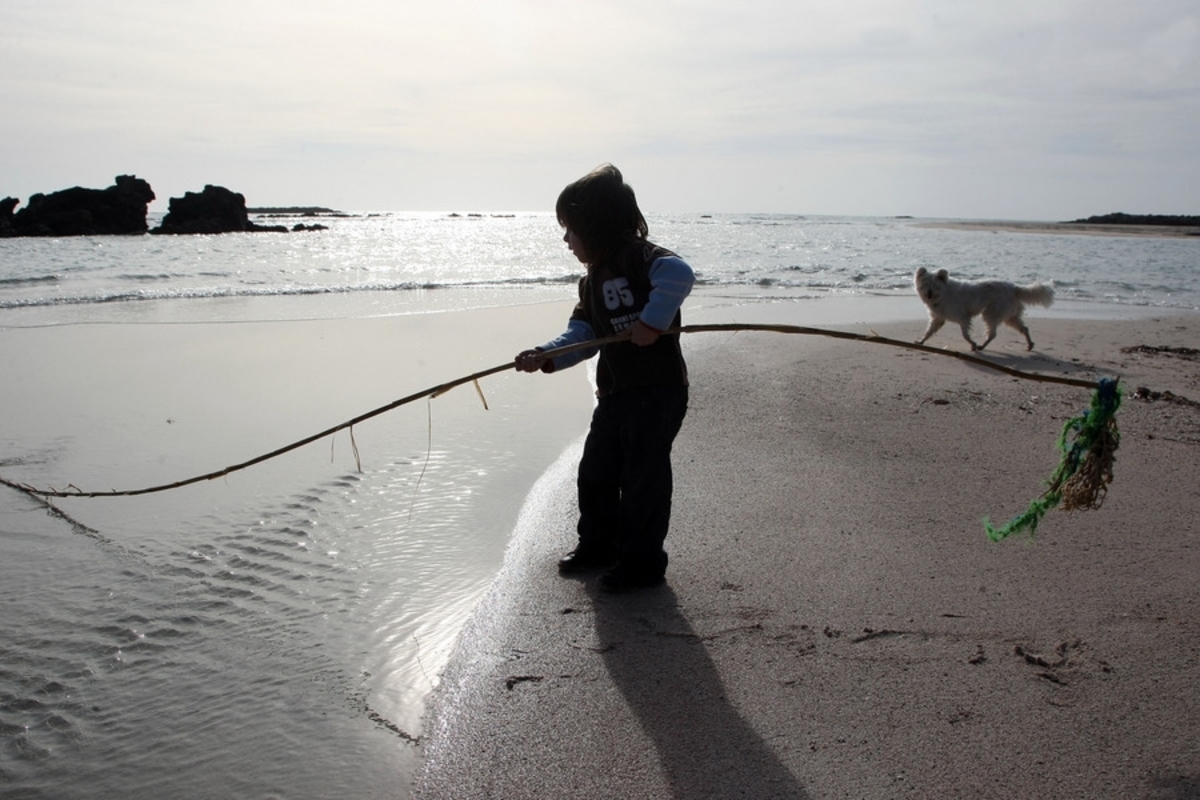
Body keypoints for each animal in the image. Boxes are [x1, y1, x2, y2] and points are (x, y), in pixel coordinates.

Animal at [912, 267, 1056, 352]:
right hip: (1011, 316)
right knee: (1024, 328)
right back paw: (1030, 344)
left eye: (935, 286)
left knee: (992, 334)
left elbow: (965, 335)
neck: (944, 293)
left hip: (991, 313)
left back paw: (981, 346)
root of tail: (1013, 287)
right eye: (925, 285)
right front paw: (921, 341)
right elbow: (929, 331)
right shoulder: (938, 319)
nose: (929, 294)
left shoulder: (963, 317)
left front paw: (973, 344)